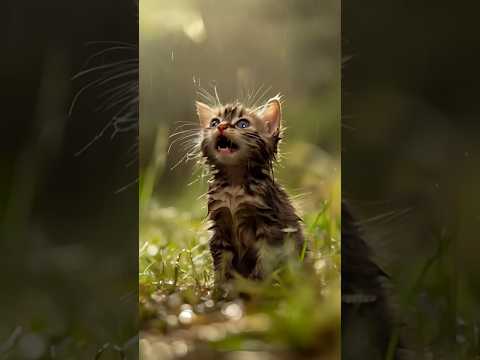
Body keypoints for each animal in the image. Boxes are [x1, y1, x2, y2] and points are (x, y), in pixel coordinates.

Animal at [194, 96, 304, 286]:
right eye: (214, 122)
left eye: (243, 124)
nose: (221, 126)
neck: (234, 184)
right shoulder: (220, 227)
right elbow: (221, 264)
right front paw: (220, 288)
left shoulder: (269, 227)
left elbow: (264, 261)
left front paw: (256, 286)